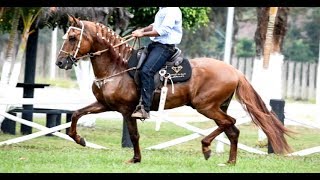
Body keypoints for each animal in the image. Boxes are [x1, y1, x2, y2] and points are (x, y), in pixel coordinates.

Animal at [55, 16, 292, 165]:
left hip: (205, 106)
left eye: (73, 38)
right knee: (231, 129)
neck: (118, 67)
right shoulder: (104, 105)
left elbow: (134, 135)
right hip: (216, 107)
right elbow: (76, 115)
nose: (60, 62)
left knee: (229, 123)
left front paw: (135, 159)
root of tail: (234, 71)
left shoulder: (127, 110)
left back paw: (207, 147)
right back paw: (229, 161)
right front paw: (80, 139)